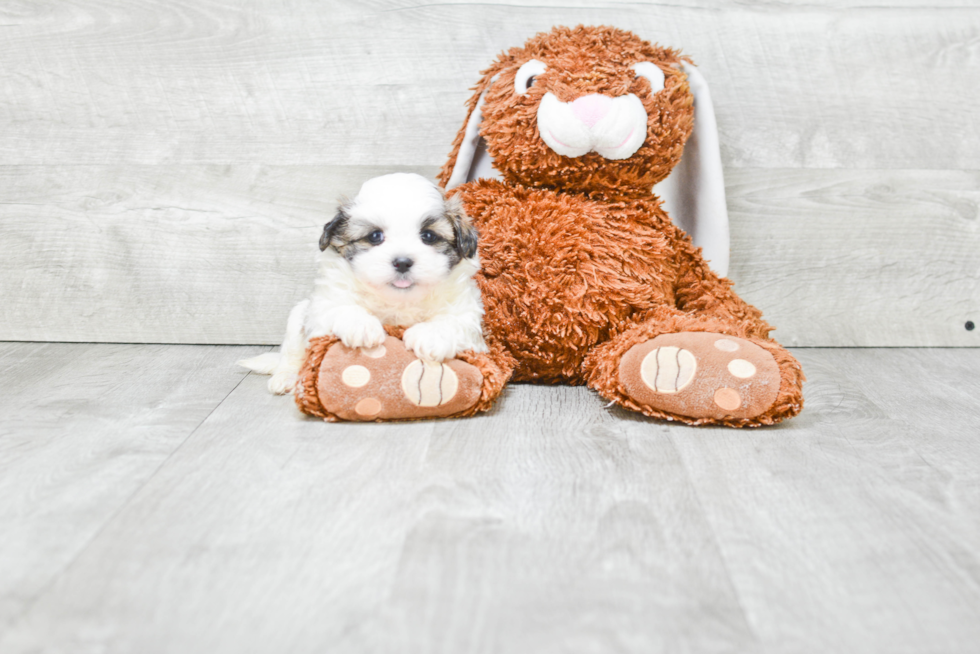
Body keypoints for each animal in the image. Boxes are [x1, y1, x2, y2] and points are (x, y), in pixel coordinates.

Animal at [234, 173, 486, 394]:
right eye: (375, 236)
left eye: (429, 236)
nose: (402, 262)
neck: (398, 302)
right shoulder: (323, 304)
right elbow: (340, 307)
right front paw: (362, 326)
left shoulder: (469, 315)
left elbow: (455, 320)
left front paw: (431, 335)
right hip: (297, 318)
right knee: (292, 353)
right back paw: (286, 376)